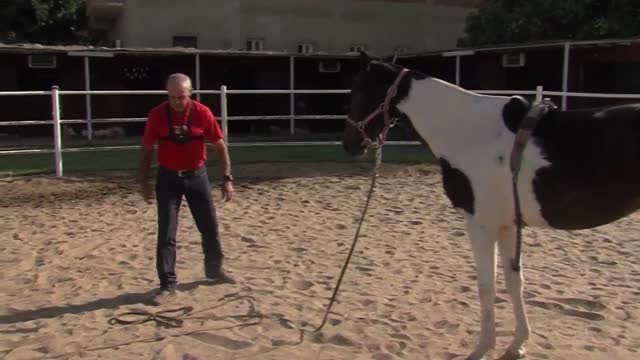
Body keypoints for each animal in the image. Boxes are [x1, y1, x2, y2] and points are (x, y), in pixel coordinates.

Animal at [342, 52, 640, 360]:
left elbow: (486, 286)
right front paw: (517, 343)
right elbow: (513, 282)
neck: (470, 132)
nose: (349, 143)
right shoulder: (508, 224)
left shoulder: (480, 224)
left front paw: (482, 347)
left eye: (359, 91)